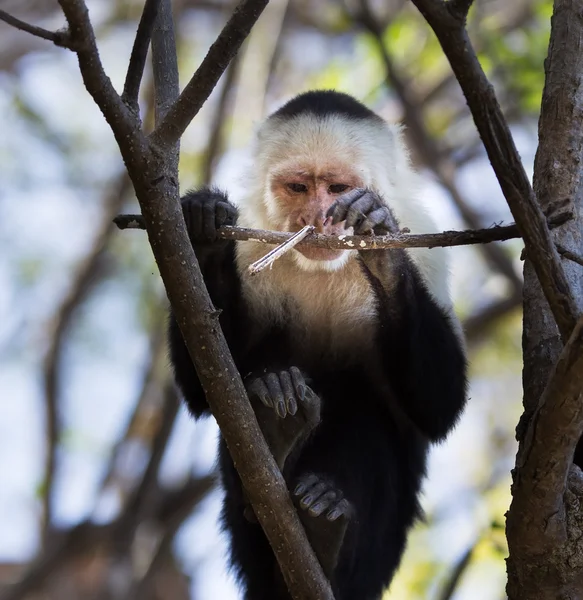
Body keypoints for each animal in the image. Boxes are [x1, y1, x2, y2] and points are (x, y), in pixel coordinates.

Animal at [169, 89, 470, 600]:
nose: (315, 219)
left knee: (365, 409)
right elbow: (208, 388)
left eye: (336, 187)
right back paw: (275, 423)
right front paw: (204, 230)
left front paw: (379, 240)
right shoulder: (253, 240)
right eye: (298, 187)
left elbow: (438, 408)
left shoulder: (429, 247)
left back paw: (323, 525)